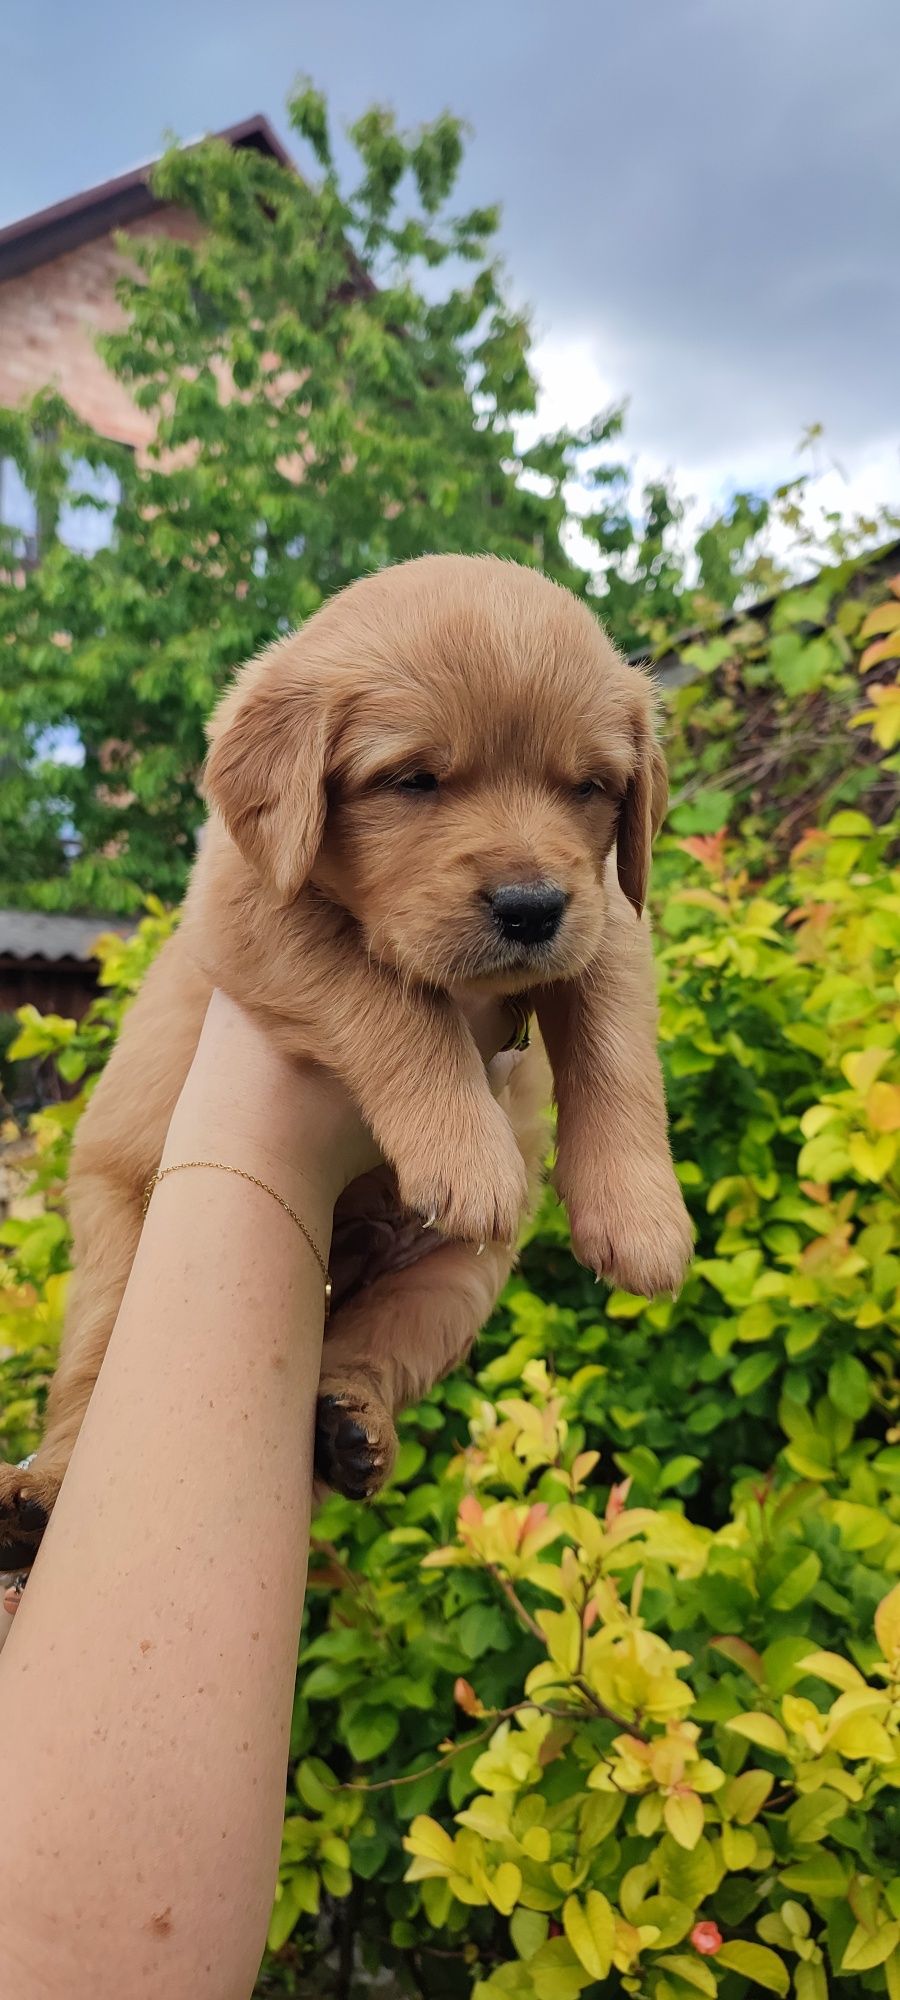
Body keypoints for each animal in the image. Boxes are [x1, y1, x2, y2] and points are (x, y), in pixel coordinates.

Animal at [0, 552, 688, 1560]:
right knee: (87, 1391)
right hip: (122, 1255)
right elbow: (393, 1000)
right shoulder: (254, 913)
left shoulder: (608, 914)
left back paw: (351, 1426)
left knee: (367, 1353)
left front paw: (641, 1219)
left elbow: (616, 1048)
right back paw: (38, 1495)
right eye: (413, 779)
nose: (531, 909)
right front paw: (469, 1151)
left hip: (457, 1281)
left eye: (591, 788)